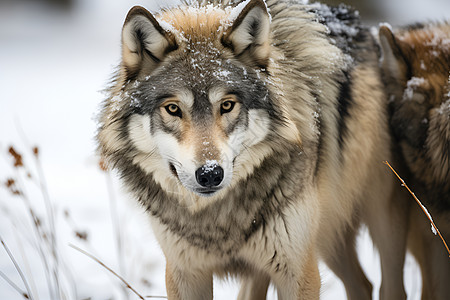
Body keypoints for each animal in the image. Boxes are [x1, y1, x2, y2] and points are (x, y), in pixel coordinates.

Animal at [96, 1, 402, 298]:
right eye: (172, 109)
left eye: (227, 105)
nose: (210, 174)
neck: (217, 218)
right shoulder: (185, 273)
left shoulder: (297, 270)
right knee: (361, 284)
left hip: (378, 220)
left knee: (385, 285)